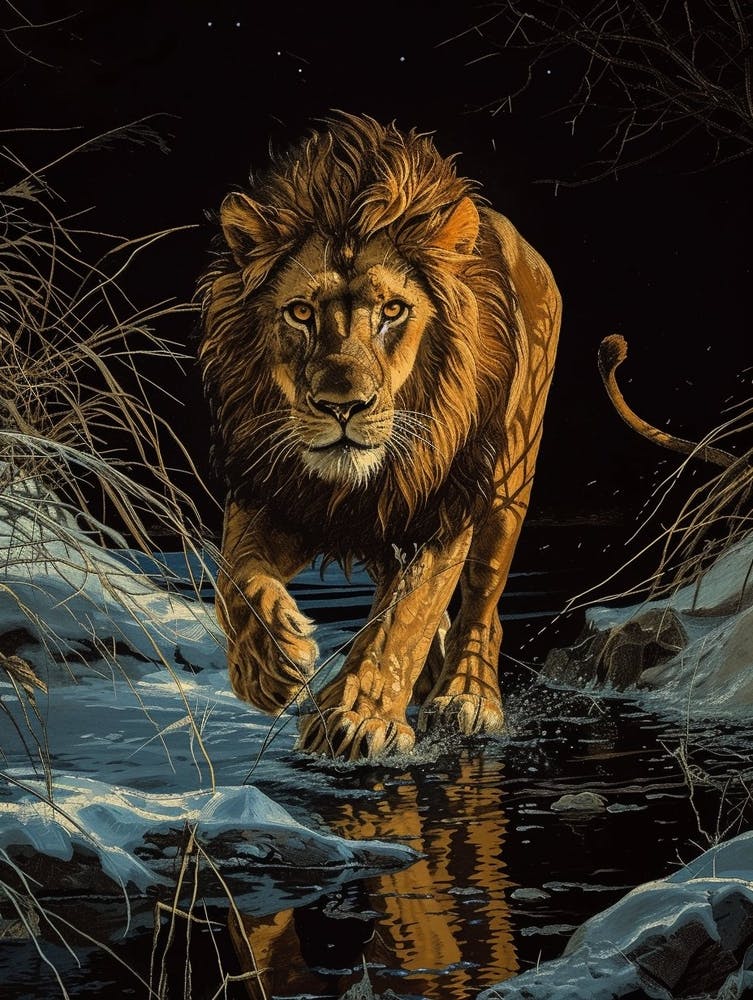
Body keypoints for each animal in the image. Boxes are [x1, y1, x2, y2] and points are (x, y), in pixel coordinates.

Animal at [198, 113, 562, 760]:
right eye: (300, 312)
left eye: (393, 310)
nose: (343, 406)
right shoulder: (273, 491)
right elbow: (235, 578)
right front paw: (271, 667)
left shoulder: (444, 504)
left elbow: (404, 618)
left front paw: (357, 717)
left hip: (509, 478)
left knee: (483, 602)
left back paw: (466, 696)